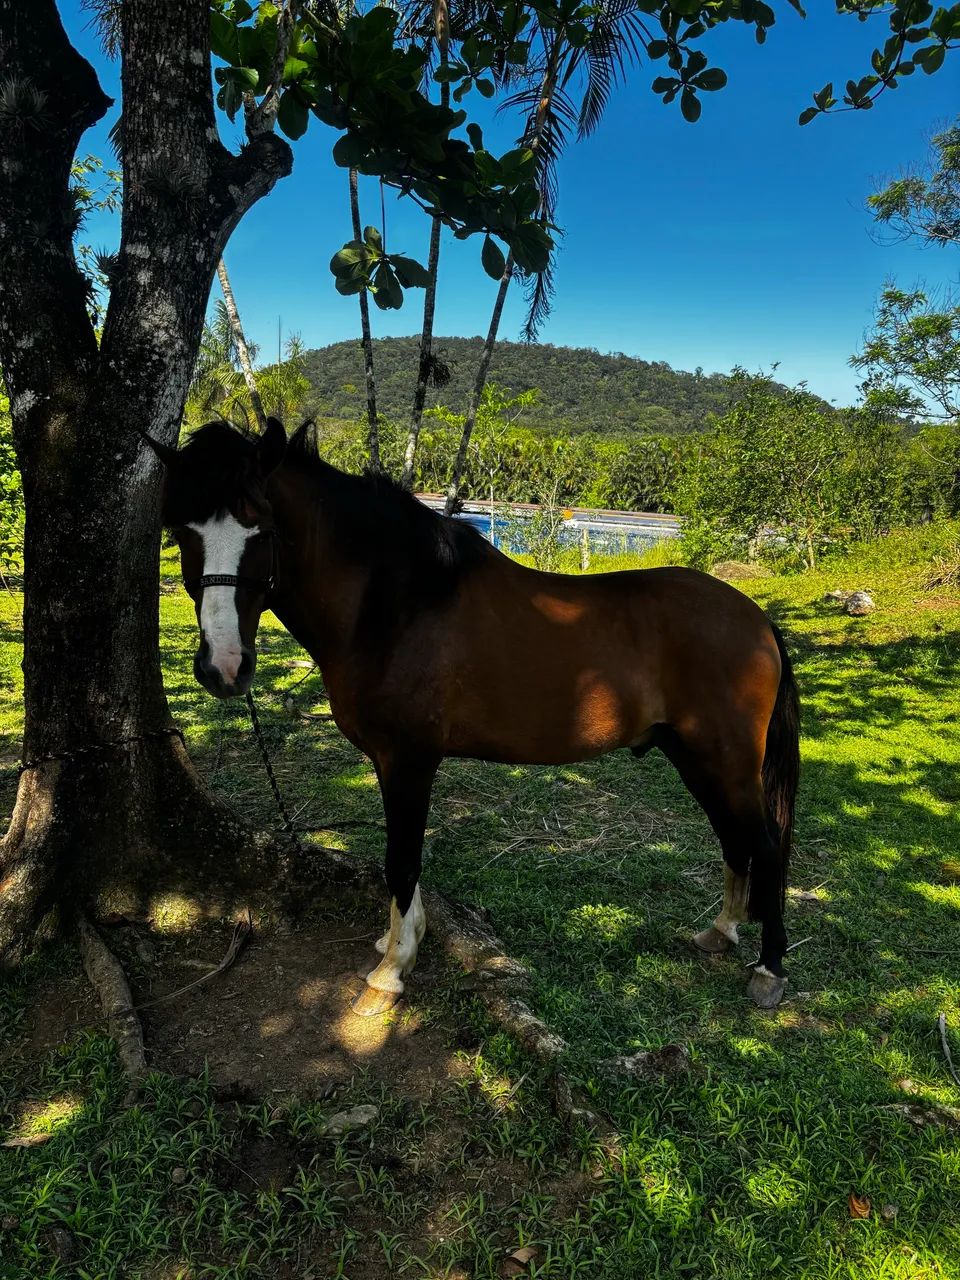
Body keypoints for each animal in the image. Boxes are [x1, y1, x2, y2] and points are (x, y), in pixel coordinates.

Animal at [148, 417, 800, 1015]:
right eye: (182, 533)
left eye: (260, 530)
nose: (224, 667)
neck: (397, 605)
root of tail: (757, 620)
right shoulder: (392, 763)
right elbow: (401, 858)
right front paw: (401, 941)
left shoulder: (409, 760)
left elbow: (402, 858)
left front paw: (390, 973)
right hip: (695, 758)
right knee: (733, 838)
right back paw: (721, 932)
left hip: (725, 760)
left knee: (765, 847)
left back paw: (769, 970)